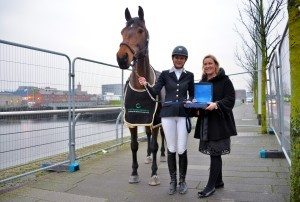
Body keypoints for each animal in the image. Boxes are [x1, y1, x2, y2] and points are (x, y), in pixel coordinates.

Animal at [115, 5, 166, 186]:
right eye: (122, 31)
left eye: (140, 30)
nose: (122, 57)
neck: (141, 85)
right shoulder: (132, 120)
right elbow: (134, 145)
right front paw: (134, 173)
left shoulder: (156, 120)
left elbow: (155, 144)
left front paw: (154, 174)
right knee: (149, 136)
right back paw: (149, 157)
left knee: (162, 138)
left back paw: (163, 156)